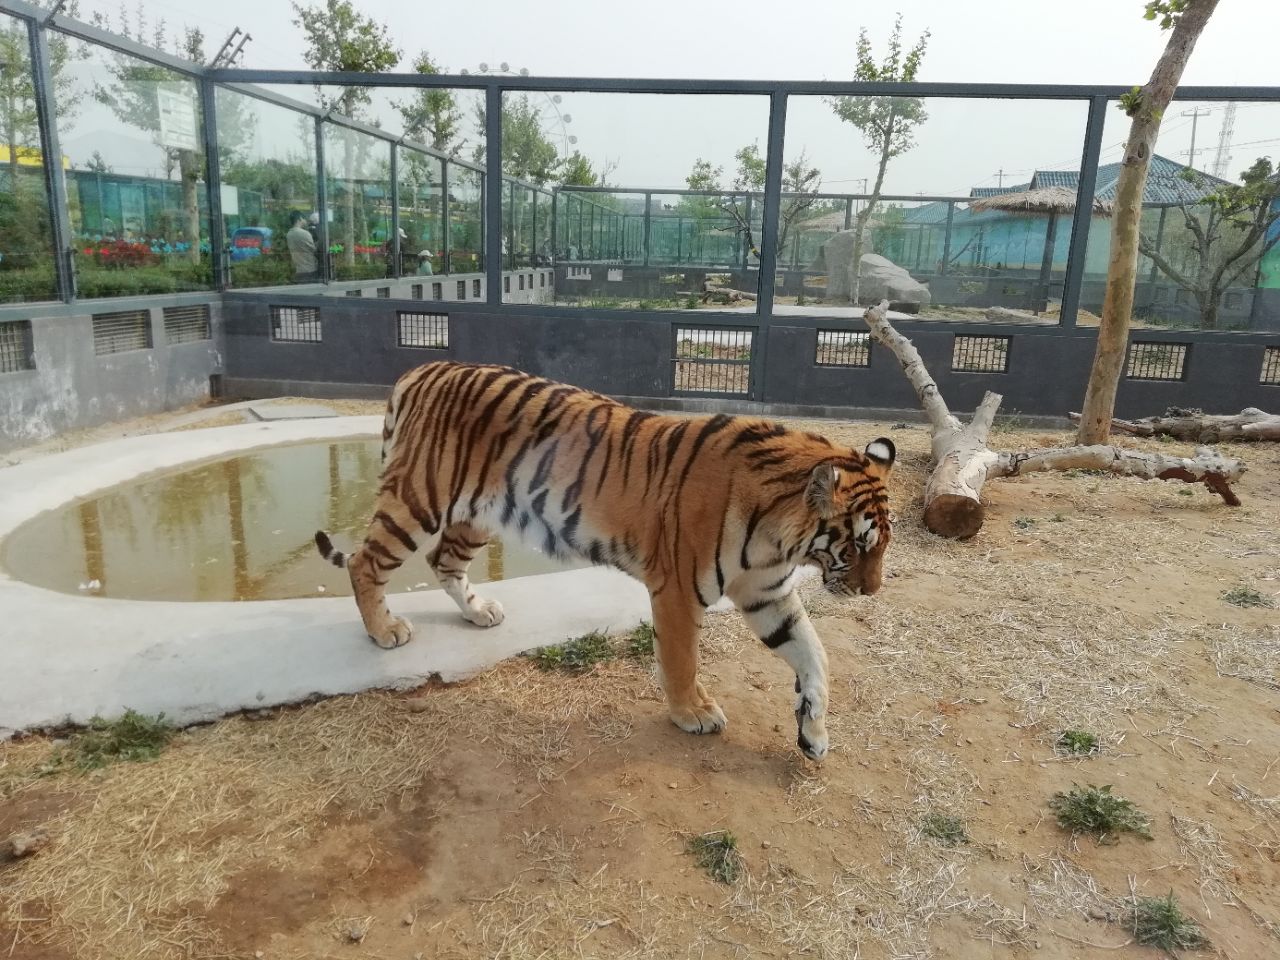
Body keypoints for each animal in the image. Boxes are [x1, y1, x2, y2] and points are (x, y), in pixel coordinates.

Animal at [314, 360, 896, 757]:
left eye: (883, 545)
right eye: (858, 546)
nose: (872, 591)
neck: (781, 537)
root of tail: (421, 370)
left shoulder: (767, 595)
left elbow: (814, 654)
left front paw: (814, 731)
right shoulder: (678, 590)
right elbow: (682, 660)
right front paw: (693, 713)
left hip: (477, 512)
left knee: (443, 561)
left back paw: (479, 612)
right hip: (419, 499)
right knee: (366, 562)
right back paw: (385, 631)